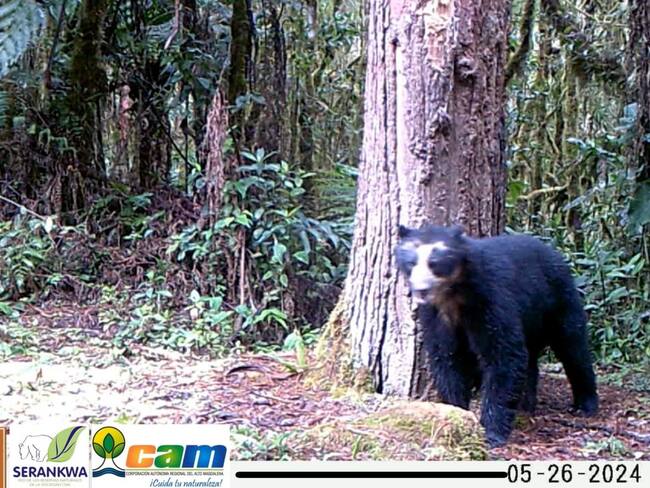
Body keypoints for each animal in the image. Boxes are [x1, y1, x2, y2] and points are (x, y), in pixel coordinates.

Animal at [395, 223, 598, 447]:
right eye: (411, 262)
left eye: (435, 263)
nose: (421, 290)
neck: (454, 294)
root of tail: (556, 254)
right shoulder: (435, 315)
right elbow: (447, 358)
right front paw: (456, 410)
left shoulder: (491, 299)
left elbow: (503, 355)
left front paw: (491, 432)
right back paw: (527, 403)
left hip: (559, 301)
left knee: (573, 347)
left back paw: (585, 403)